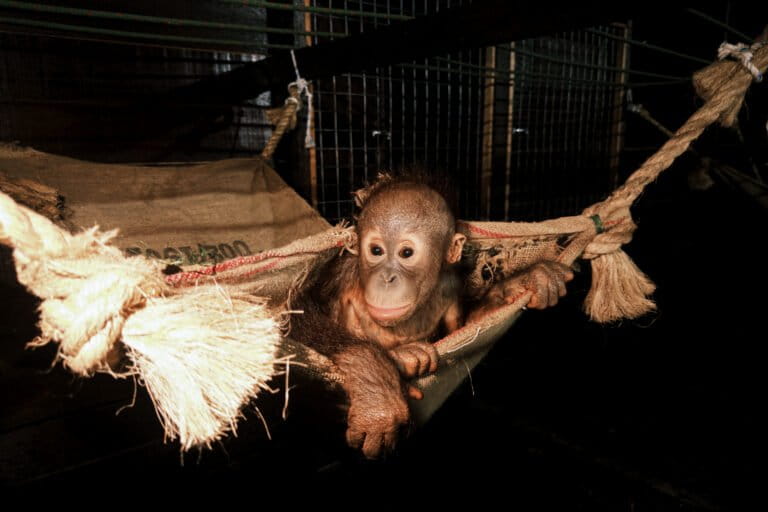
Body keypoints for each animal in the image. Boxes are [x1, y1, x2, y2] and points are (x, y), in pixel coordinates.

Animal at [288, 176, 573, 459]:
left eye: (406, 253)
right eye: (376, 250)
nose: (387, 278)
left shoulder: (451, 285)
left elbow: (465, 327)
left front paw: (525, 281)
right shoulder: (343, 271)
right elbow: (296, 315)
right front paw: (376, 387)